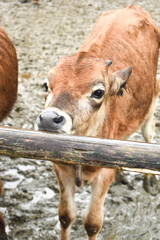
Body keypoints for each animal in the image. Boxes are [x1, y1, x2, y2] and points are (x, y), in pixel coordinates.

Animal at [36, 4, 160, 240]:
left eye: (98, 92)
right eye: (46, 85)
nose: (48, 119)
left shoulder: (102, 176)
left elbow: (92, 223)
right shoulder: (60, 170)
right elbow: (66, 216)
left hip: (152, 100)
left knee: (148, 135)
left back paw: (150, 180)